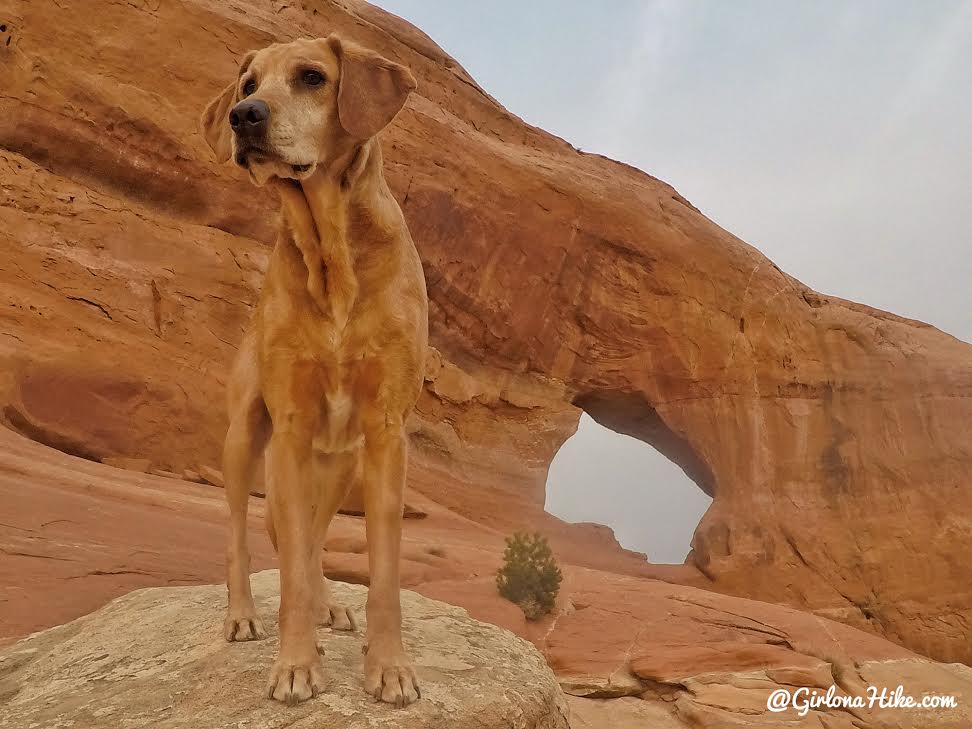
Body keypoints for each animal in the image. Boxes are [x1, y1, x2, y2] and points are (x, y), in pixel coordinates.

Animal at [197, 34, 426, 704]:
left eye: (312, 77)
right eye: (248, 84)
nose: (243, 117)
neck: (332, 256)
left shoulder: (385, 432)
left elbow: (381, 573)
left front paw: (389, 667)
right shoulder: (292, 426)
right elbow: (291, 571)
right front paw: (296, 664)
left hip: (341, 463)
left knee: (318, 537)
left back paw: (329, 606)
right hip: (247, 439)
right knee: (244, 534)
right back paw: (243, 615)